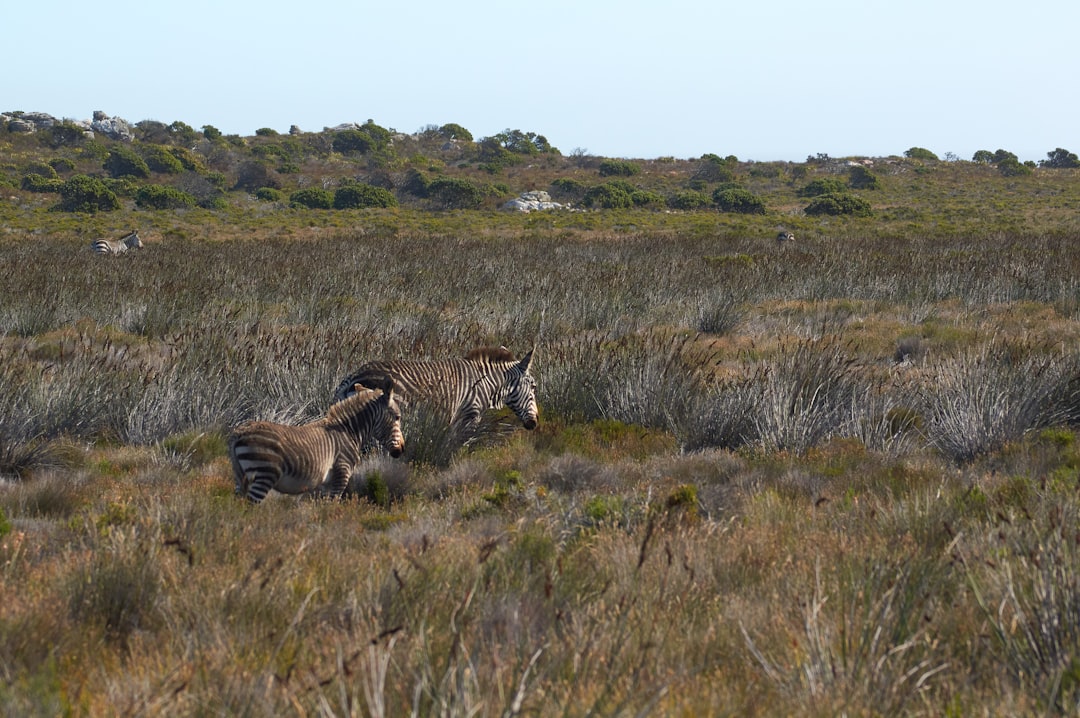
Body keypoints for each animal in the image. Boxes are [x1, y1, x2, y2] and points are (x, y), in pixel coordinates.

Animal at [225, 375, 403, 503]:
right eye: (397, 417)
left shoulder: (325, 485)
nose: (400, 451)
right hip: (264, 474)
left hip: (240, 477)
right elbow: (331, 509)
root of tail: (238, 432)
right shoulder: (341, 475)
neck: (349, 431)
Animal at [330, 345, 537, 440]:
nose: (534, 424)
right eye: (534, 386)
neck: (485, 383)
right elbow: (459, 447)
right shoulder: (469, 416)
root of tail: (353, 376)